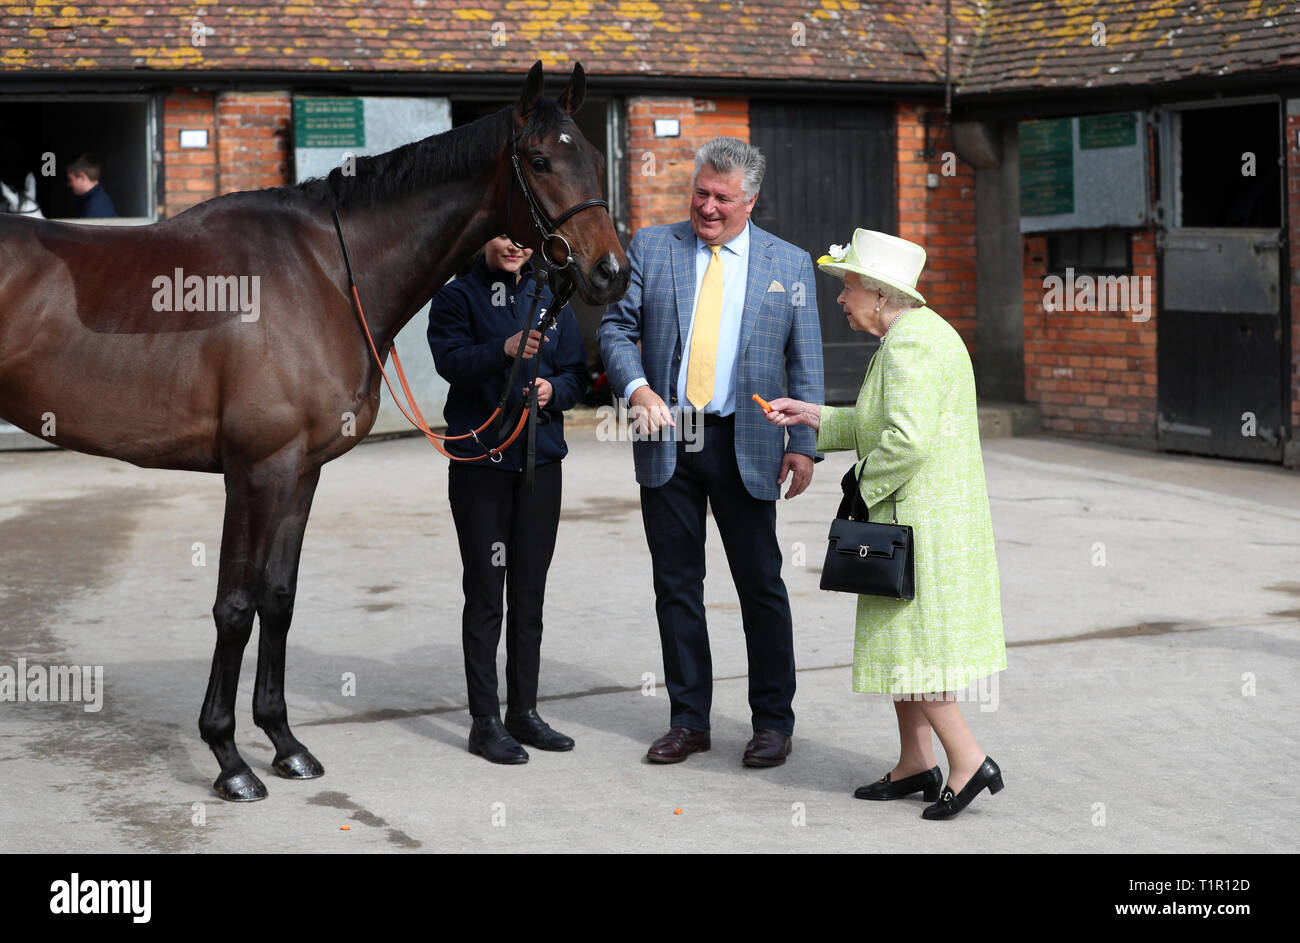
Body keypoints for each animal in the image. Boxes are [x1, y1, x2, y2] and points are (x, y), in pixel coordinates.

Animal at [0, 58, 629, 796]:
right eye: (540, 160)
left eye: (592, 157)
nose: (610, 272)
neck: (323, 273)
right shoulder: (256, 471)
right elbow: (235, 605)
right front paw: (230, 758)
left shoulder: (300, 472)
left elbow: (278, 598)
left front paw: (284, 742)